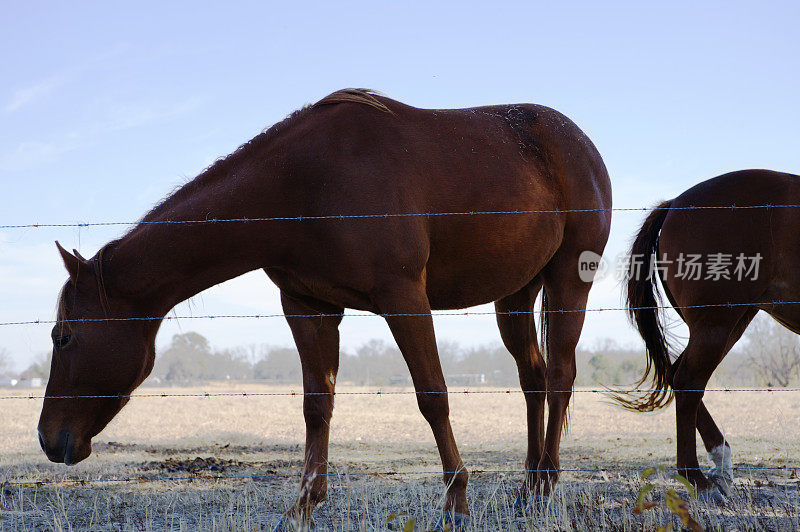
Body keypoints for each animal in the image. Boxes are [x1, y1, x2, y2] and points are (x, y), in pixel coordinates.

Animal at [36, 88, 612, 524]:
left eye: (64, 336)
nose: (47, 438)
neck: (303, 184)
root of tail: (580, 144)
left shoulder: (403, 298)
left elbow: (432, 396)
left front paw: (456, 503)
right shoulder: (308, 307)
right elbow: (317, 406)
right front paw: (303, 505)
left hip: (568, 280)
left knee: (560, 375)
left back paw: (547, 488)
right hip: (515, 294)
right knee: (533, 379)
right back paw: (527, 490)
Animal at [624, 169, 800, 502]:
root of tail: (674, 204)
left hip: (731, 322)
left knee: (678, 374)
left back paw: (719, 462)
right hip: (716, 324)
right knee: (688, 381)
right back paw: (696, 477)